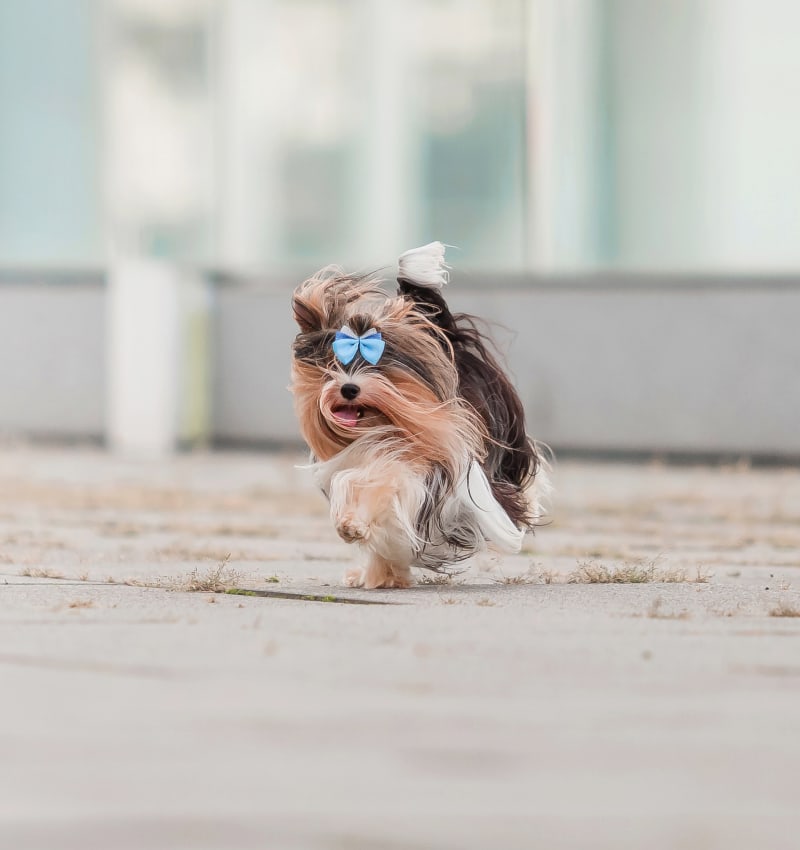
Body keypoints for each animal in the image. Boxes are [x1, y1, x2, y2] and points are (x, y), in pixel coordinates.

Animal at [290, 242, 552, 588]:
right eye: (332, 367)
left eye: (377, 368)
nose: (348, 388)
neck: (381, 427)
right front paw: (372, 556)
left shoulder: (430, 474)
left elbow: (383, 478)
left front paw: (357, 529)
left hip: (507, 445)